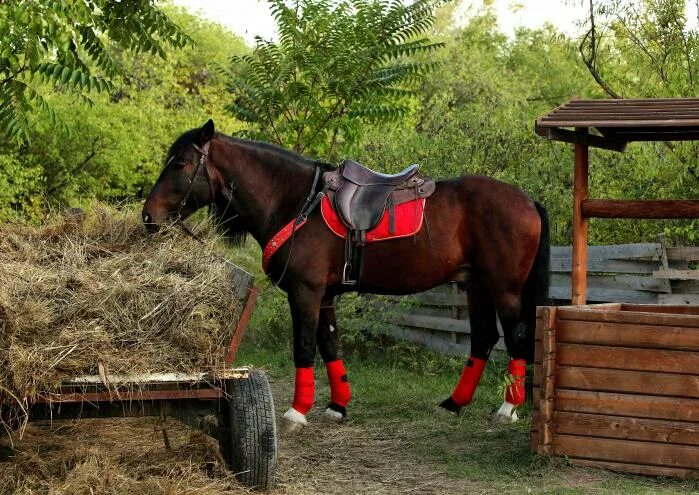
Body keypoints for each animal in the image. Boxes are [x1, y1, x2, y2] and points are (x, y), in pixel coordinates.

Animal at [141, 120, 548, 430]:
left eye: (180, 164)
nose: (148, 216)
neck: (297, 203)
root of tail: (526, 200)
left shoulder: (305, 292)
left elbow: (305, 346)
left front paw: (296, 412)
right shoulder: (324, 297)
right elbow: (330, 344)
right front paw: (337, 405)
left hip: (504, 289)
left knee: (515, 336)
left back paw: (508, 408)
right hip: (475, 285)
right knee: (483, 338)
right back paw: (454, 403)